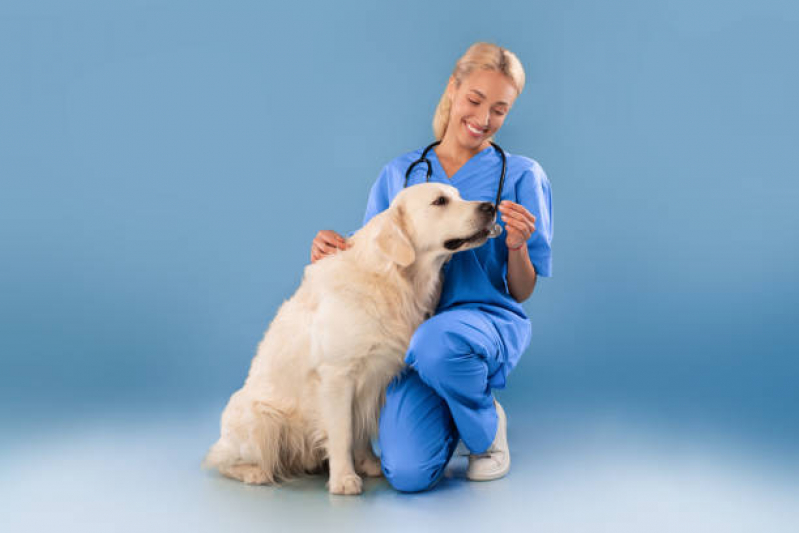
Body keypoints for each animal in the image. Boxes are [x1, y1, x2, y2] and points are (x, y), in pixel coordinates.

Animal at [203, 182, 496, 494]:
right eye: (440, 201)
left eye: (459, 195)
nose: (490, 207)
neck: (392, 279)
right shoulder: (337, 376)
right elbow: (342, 432)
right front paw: (344, 478)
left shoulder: (372, 380)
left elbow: (359, 430)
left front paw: (368, 463)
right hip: (263, 421)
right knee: (221, 459)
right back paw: (254, 472)